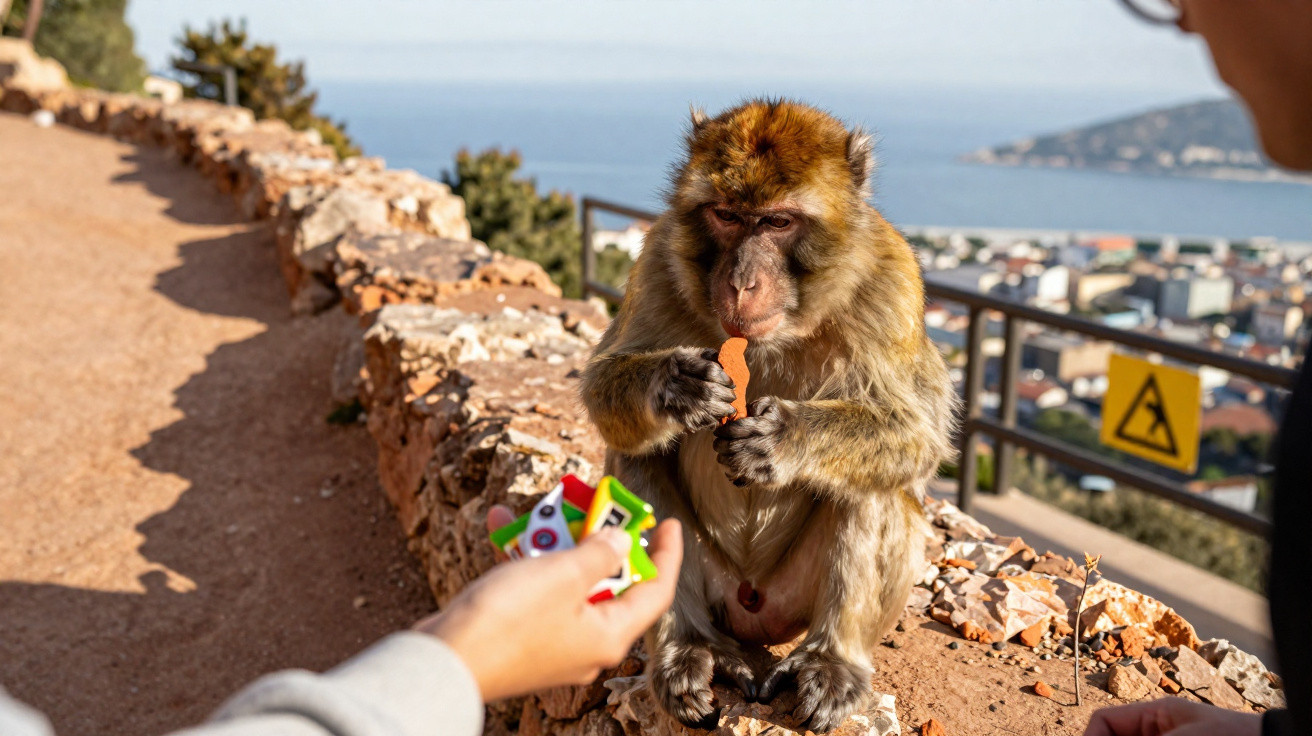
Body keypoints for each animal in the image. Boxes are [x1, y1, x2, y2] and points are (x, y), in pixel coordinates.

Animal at [579, 100, 957, 732]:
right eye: (728, 216)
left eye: (778, 223)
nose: (740, 282)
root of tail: (751, 603)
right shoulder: (658, 259)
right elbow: (602, 386)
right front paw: (676, 386)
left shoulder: (891, 283)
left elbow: (916, 435)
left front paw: (780, 439)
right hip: (716, 587)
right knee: (636, 458)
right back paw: (687, 647)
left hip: (790, 598)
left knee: (873, 485)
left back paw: (833, 661)